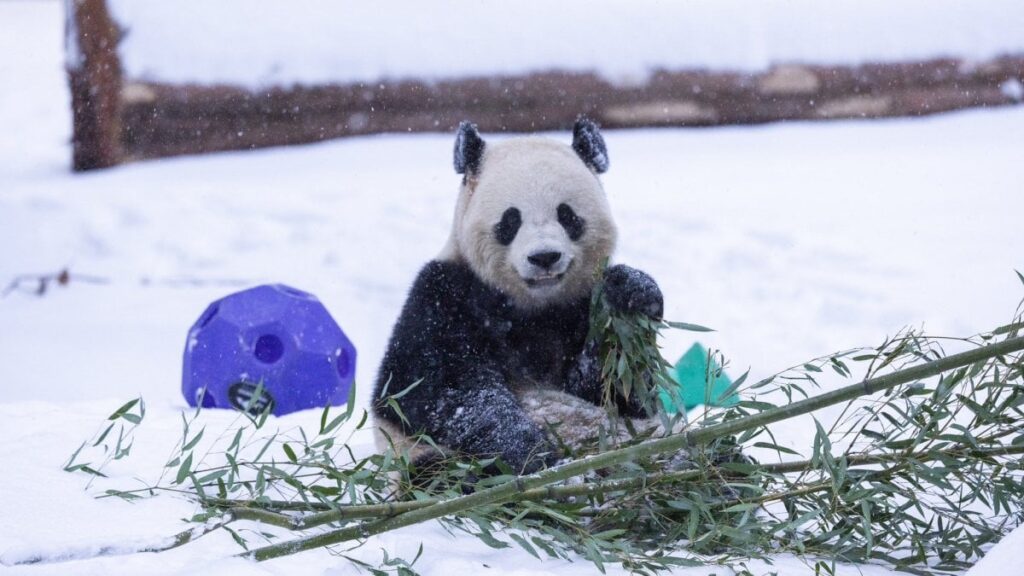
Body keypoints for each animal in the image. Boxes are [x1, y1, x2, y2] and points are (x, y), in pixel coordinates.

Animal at [374, 117, 663, 475]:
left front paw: (630, 293)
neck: (533, 306)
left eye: (567, 216)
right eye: (511, 220)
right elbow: (442, 391)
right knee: (437, 471)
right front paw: (532, 454)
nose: (544, 257)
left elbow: (617, 391)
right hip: (417, 460)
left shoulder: (581, 304)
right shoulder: (444, 297)